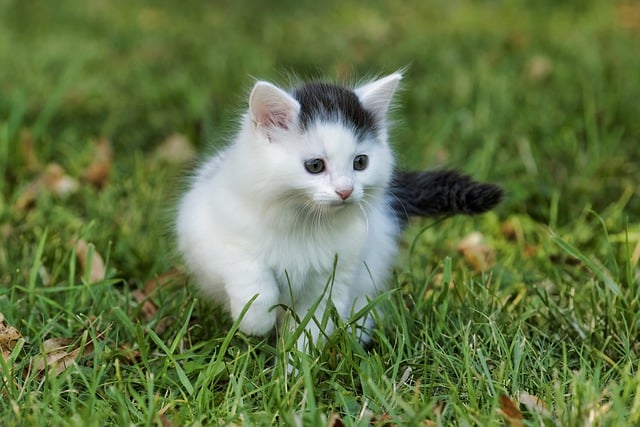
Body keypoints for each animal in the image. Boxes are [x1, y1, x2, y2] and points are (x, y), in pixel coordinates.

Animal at [176, 72, 504, 350]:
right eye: (315, 166)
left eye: (361, 162)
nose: (345, 190)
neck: (305, 223)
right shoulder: (210, 236)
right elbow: (251, 275)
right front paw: (255, 321)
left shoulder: (334, 275)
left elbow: (310, 325)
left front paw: (296, 369)